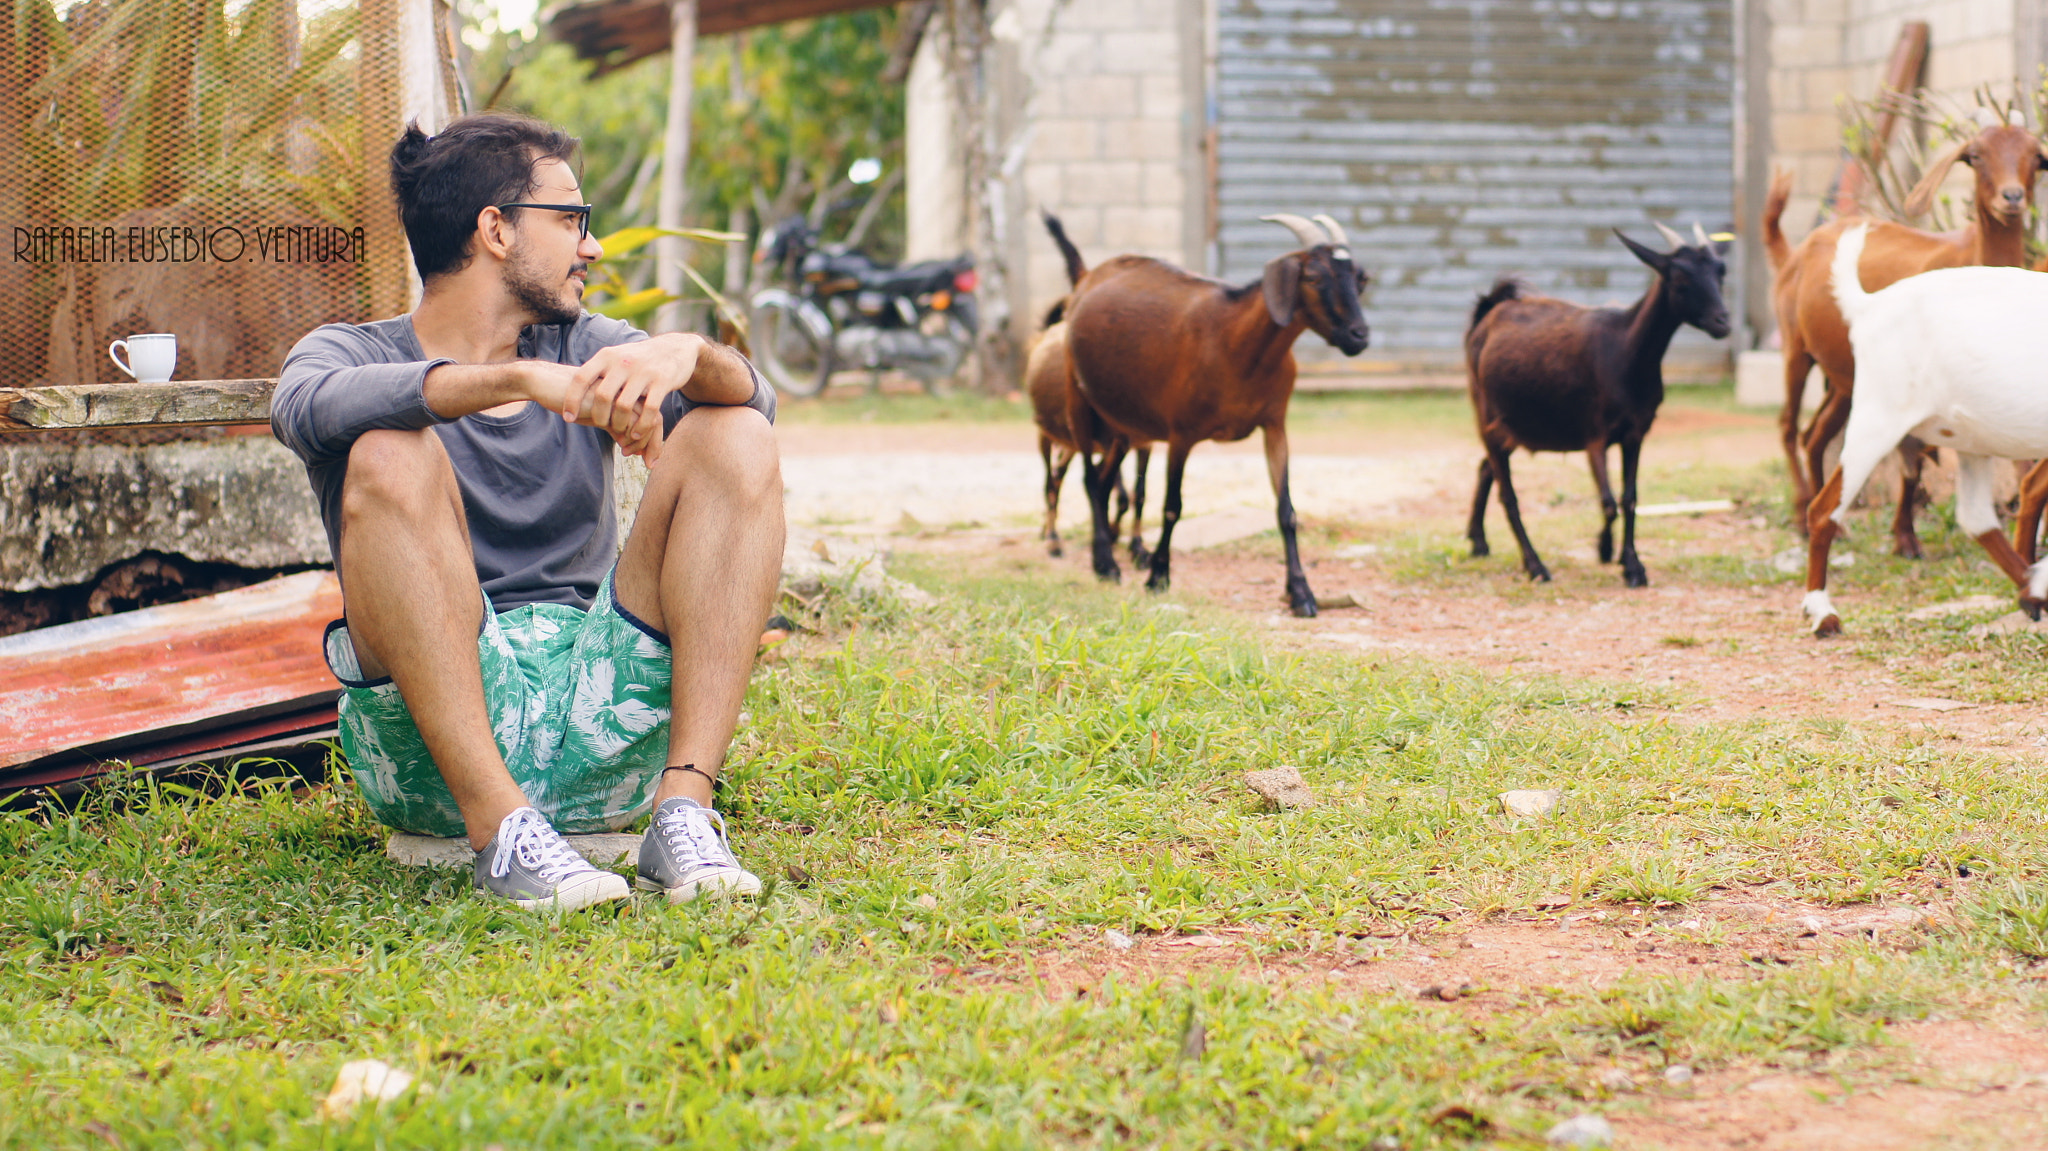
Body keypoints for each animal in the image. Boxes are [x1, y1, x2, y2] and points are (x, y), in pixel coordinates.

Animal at [1048, 210, 1368, 614]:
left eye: (1360, 278)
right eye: (1313, 277)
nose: (1359, 336)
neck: (1238, 344)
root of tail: (1088, 276)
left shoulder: (1275, 426)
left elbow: (1287, 511)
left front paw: (1301, 592)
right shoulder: (1181, 433)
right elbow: (1173, 506)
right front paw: (1158, 576)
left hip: (1123, 422)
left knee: (1104, 482)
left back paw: (1099, 561)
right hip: (1078, 397)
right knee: (1091, 480)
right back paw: (1107, 564)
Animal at [1466, 222, 1736, 581]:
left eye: (1721, 271)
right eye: (1680, 278)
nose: (1723, 322)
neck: (1626, 351)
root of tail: (1488, 311)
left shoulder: (1635, 433)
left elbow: (1630, 498)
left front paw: (1631, 563)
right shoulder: (1595, 434)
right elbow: (1608, 501)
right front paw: (1606, 550)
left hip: (1514, 425)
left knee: (1485, 468)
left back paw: (1478, 542)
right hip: (1485, 414)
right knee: (1507, 493)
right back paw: (1535, 565)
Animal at [1761, 121, 2048, 557]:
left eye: (2035, 156)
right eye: (1976, 156)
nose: (2011, 197)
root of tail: (1796, 250)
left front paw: (1905, 535)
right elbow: (1913, 460)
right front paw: (1905, 537)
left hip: (1845, 381)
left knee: (1816, 436)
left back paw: (1831, 524)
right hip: (1797, 351)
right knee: (1789, 426)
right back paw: (1799, 515)